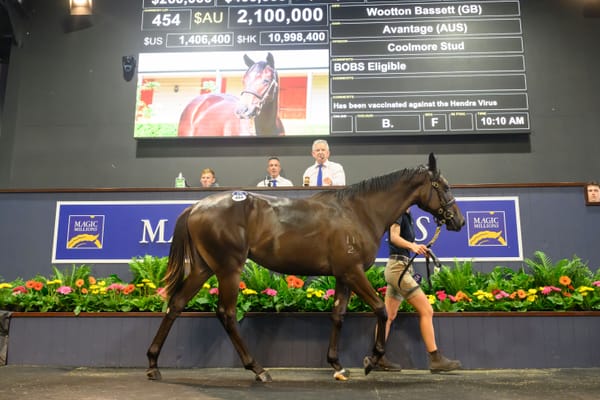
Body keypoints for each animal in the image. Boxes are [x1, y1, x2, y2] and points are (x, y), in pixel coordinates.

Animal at [145, 153, 464, 382]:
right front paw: (372, 361)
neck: (358, 212)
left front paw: (337, 365)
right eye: (444, 186)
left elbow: (338, 315)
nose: (458, 221)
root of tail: (196, 207)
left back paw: (153, 363)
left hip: (204, 268)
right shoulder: (353, 271)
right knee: (226, 313)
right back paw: (258, 369)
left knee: (176, 304)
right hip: (228, 268)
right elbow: (381, 310)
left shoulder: (343, 276)